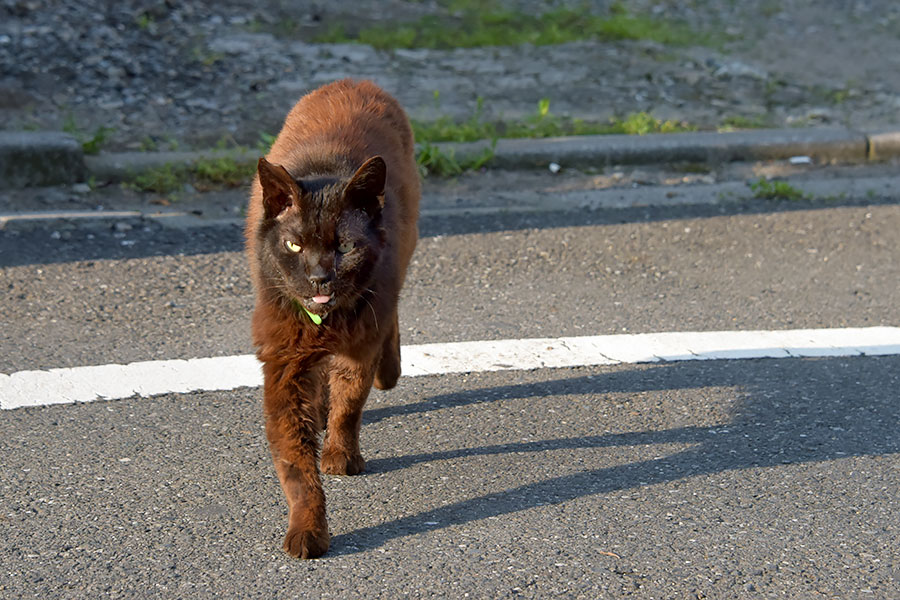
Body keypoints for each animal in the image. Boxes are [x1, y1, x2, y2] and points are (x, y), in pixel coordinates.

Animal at [243, 79, 418, 556]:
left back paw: (389, 371)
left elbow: (350, 405)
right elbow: (296, 467)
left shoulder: (361, 343)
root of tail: (354, 82)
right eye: (295, 245)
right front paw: (307, 530)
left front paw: (341, 455)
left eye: (344, 246)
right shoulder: (283, 364)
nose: (320, 278)